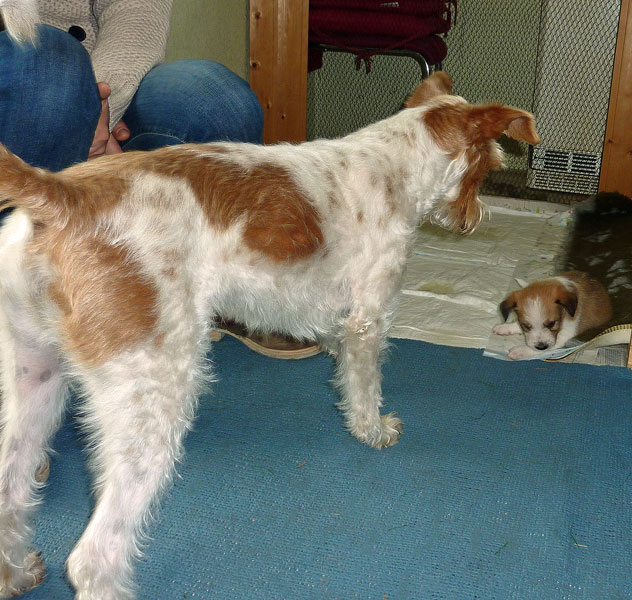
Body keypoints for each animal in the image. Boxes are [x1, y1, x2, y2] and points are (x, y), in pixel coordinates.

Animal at [0, 70, 538, 598]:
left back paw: (20, 574)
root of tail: (63, 197)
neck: (395, 167)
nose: (473, 220)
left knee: (12, 494)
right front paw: (374, 430)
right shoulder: (367, 320)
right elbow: (365, 388)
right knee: (93, 558)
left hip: (38, 380)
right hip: (151, 398)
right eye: (487, 166)